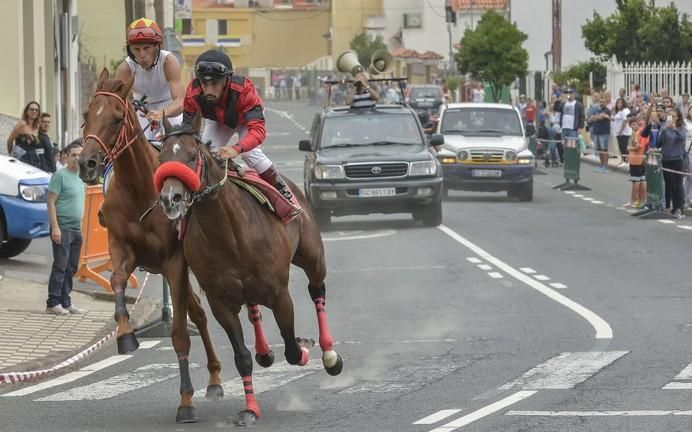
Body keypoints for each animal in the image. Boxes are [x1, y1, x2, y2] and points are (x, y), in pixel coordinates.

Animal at [77, 70, 231, 422]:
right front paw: (125, 334)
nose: (87, 164)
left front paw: (186, 402)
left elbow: (178, 335)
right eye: (87, 114)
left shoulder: (174, 262)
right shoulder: (122, 248)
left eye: (117, 118)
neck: (139, 190)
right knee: (198, 313)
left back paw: (215, 378)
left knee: (198, 316)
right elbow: (117, 280)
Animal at [155, 114, 344, 426]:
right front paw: (250, 409)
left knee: (318, 291)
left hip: (312, 257)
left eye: (192, 155)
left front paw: (305, 347)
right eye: (161, 157)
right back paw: (265, 352)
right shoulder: (219, 300)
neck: (229, 232)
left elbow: (292, 349)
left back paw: (329, 355)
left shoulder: (280, 294)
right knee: (254, 308)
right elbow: (242, 356)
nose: (171, 199)